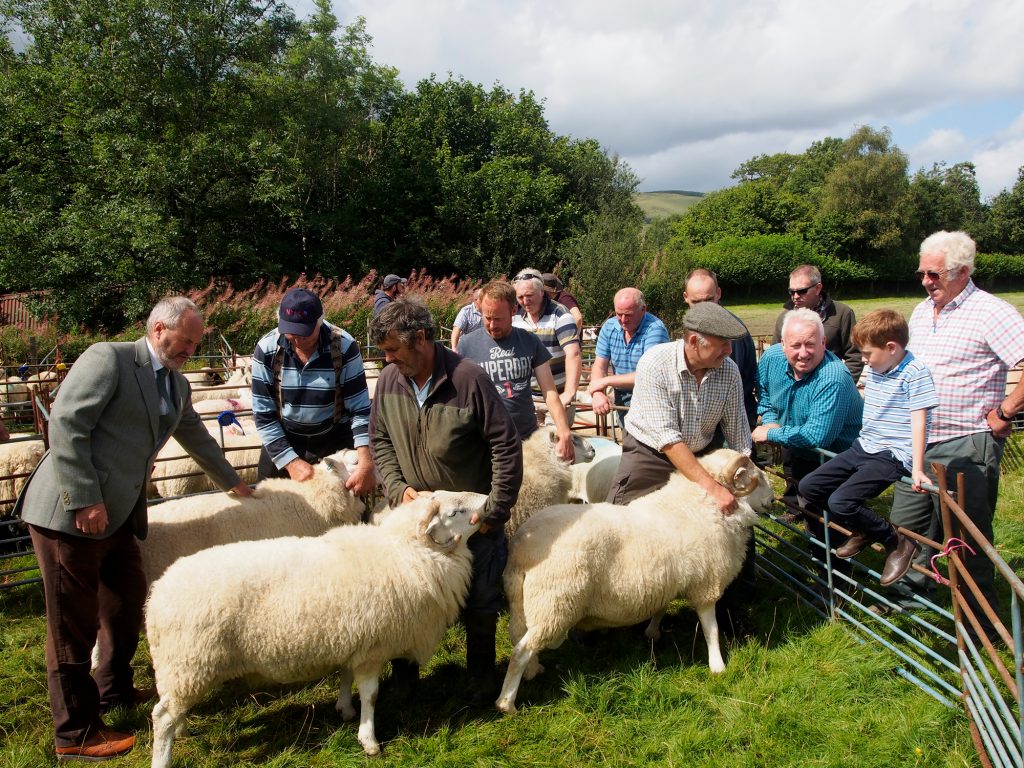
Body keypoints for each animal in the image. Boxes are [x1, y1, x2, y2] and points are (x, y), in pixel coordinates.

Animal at [145, 493, 491, 765]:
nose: (488, 500)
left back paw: (182, 729)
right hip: (191, 662)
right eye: (454, 512)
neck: (404, 551)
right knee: (161, 717)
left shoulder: (353, 637)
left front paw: (345, 709)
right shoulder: (373, 648)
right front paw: (369, 740)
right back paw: (163, 758)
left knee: (172, 709)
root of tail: (158, 594)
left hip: (181, 669)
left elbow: (346, 676)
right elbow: (371, 695)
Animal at [497, 450, 774, 716]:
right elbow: (711, 630)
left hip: (524, 604)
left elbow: (661, 607)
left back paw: (533, 671)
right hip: (553, 605)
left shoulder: (667, 577)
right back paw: (507, 703)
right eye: (754, 478)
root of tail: (523, 546)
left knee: (519, 639)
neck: (701, 506)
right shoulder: (706, 585)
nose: (773, 500)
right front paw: (718, 666)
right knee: (520, 651)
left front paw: (653, 632)